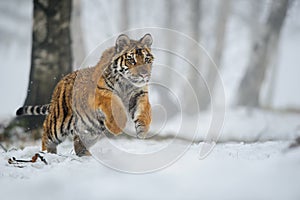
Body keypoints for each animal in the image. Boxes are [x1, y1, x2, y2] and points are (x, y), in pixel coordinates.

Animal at [15, 34, 155, 156]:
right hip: (58, 123)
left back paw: (85, 155)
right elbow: (115, 105)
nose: (144, 74)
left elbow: (144, 110)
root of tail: (59, 83)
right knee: (46, 134)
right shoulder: (102, 92)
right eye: (131, 60)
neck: (127, 84)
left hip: (90, 130)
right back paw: (48, 153)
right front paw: (117, 128)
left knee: (78, 142)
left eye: (146, 59)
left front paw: (143, 130)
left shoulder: (138, 93)